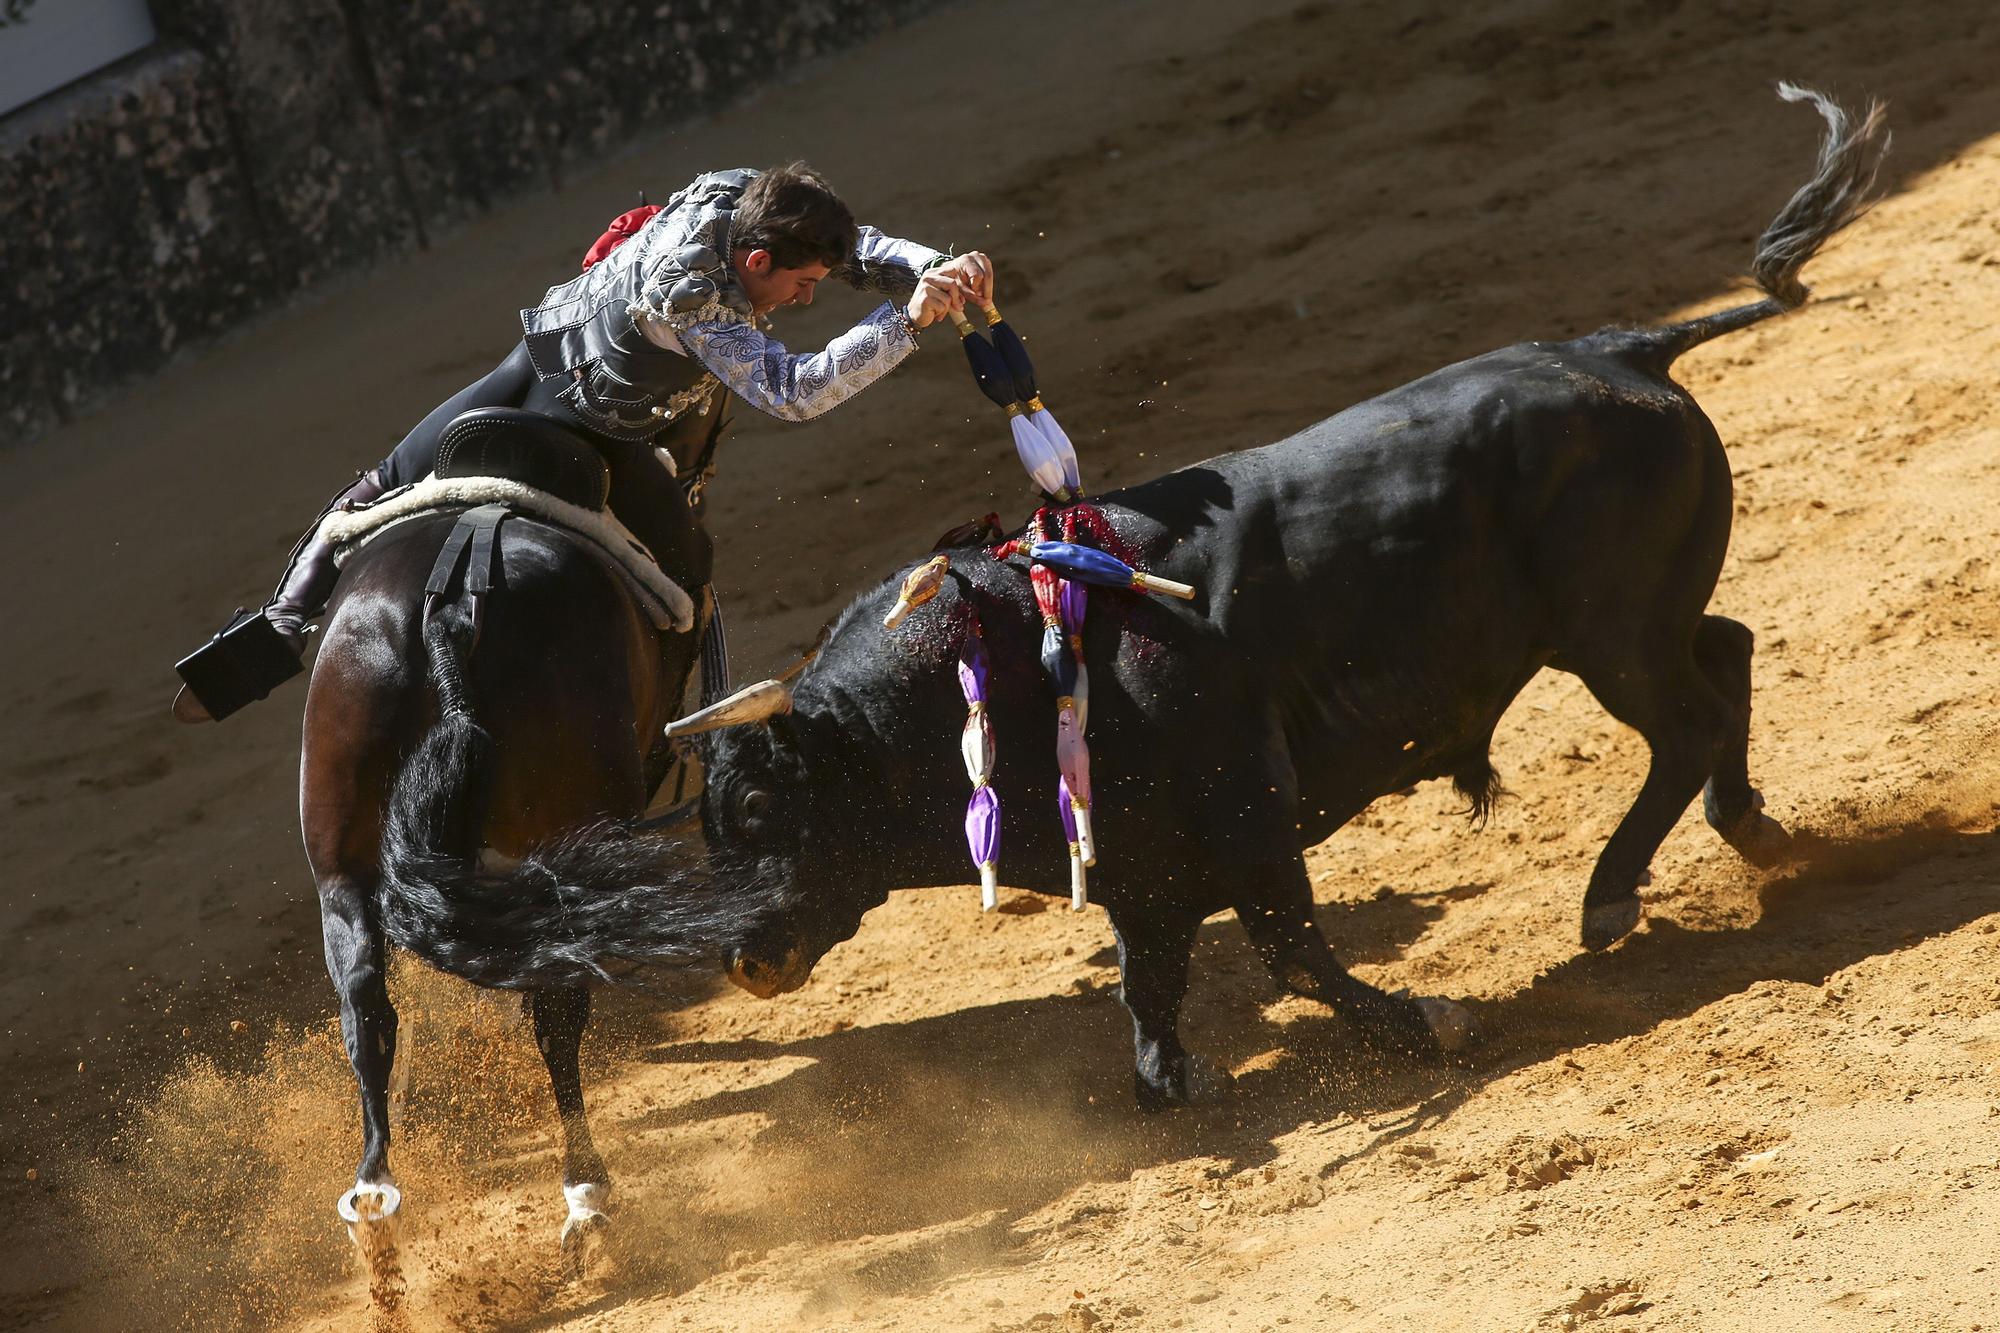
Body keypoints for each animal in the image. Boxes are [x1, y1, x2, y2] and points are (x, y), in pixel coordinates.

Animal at [382, 83, 1880, 1112]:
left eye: (758, 814)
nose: (741, 962)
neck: (985, 669)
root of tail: (1623, 347)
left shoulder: (1245, 812)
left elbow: (1290, 953)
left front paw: (1425, 1023)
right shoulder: (1142, 871)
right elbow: (1154, 1030)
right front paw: (1196, 1081)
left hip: (1609, 634)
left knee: (1684, 715)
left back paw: (1616, 897)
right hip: (1630, 624)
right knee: (1726, 658)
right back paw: (1750, 832)